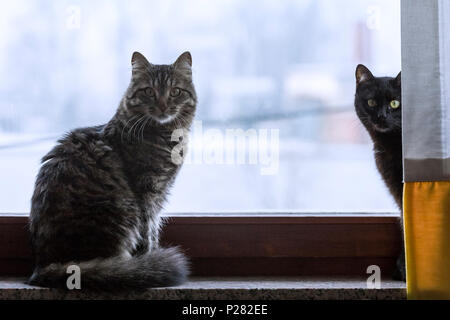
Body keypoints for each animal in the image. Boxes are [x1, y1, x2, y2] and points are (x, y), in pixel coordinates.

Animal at [27, 50, 197, 290]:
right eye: (149, 91)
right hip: (124, 212)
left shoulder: (158, 195)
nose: (163, 105)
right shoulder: (147, 194)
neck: (167, 136)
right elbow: (148, 233)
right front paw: (150, 258)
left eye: (175, 92)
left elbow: (154, 230)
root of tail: (42, 267)